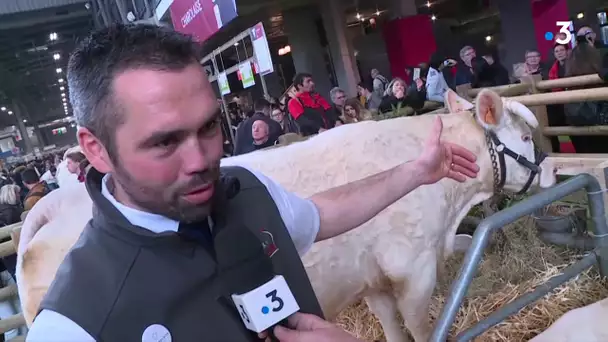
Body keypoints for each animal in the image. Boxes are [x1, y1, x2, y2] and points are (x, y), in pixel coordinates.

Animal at [15, 89, 556, 340]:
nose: (552, 171)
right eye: (524, 136)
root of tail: (54, 203)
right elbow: (423, 330)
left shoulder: (376, 281)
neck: (451, 205)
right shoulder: (413, 271)